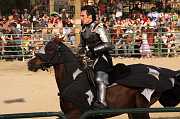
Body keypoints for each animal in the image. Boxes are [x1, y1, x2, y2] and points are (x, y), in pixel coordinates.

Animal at [27, 40, 180, 119]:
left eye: (50, 49)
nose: (30, 63)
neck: (73, 79)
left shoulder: (75, 114)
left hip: (141, 109)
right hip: (133, 110)